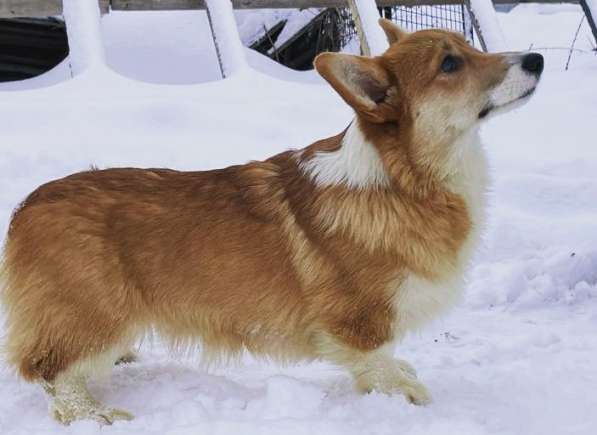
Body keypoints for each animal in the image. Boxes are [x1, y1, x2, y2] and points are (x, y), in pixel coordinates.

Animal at [0, 20, 544, 426]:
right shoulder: (358, 320)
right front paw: (405, 392)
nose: (536, 59)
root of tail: (25, 207)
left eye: (468, 47)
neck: (406, 177)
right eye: (450, 64)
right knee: (49, 370)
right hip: (98, 312)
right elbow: (375, 361)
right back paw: (94, 413)